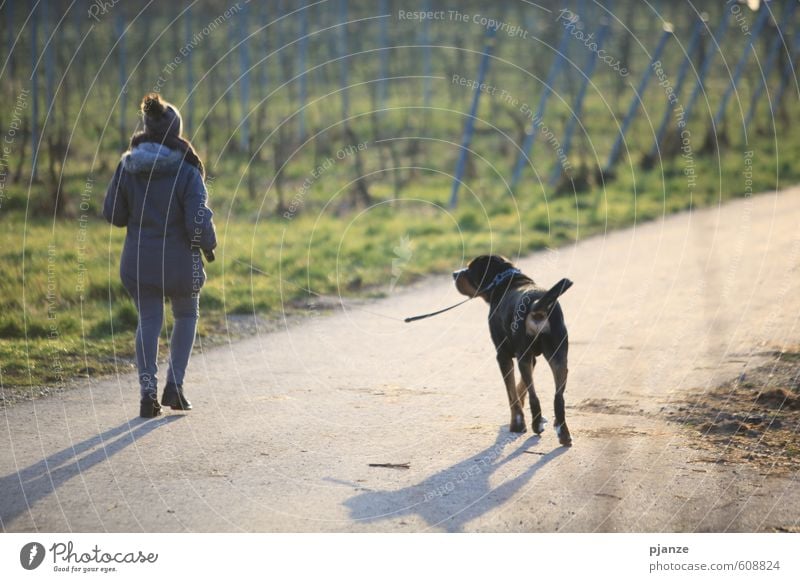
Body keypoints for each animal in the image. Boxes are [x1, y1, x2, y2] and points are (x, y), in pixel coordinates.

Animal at [450, 256, 576, 448]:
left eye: (470, 269)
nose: (454, 273)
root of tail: (537, 306)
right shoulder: (531, 358)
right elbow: (519, 387)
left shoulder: (503, 356)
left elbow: (511, 393)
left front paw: (517, 423)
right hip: (558, 357)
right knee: (558, 398)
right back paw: (563, 434)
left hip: (524, 357)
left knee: (534, 397)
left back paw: (536, 425)